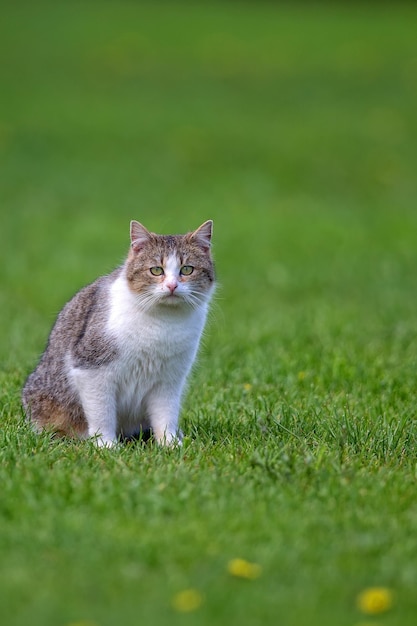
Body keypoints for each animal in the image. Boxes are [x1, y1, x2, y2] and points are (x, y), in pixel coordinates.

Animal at [22, 219, 214, 444]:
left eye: (187, 269)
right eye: (156, 270)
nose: (172, 286)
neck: (163, 321)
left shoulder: (169, 379)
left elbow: (165, 414)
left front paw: (170, 443)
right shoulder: (91, 369)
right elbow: (101, 413)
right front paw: (106, 445)